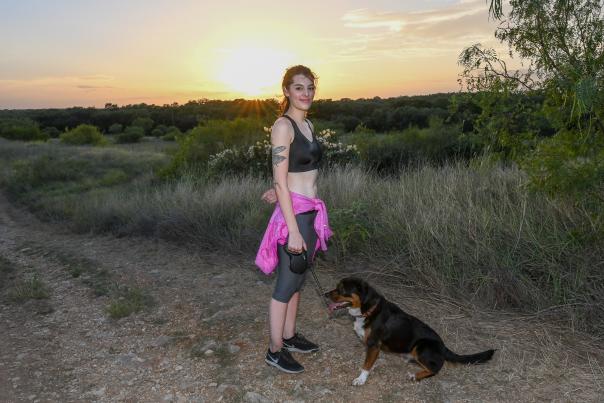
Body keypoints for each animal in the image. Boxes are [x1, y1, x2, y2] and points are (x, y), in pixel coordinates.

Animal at [326, 278, 496, 386]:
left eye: (342, 289)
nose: (324, 294)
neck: (368, 311)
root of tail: (443, 346)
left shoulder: (374, 345)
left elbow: (366, 365)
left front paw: (361, 379)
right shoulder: (372, 347)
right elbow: (368, 361)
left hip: (421, 347)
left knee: (436, 367)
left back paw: (415, 376)